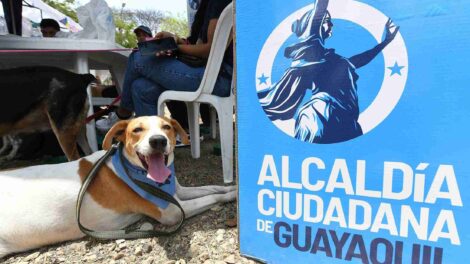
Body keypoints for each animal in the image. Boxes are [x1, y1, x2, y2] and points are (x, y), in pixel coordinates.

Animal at [0, 115, 237, 258]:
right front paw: (232, 196)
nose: (158, 140)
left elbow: (212, 188)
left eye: (167, 127)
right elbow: (211, 197)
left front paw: (232, 188)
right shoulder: (171, 211)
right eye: (137, 130)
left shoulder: (177, 192)